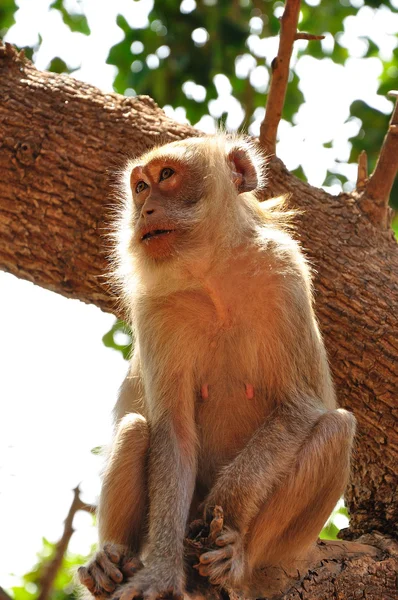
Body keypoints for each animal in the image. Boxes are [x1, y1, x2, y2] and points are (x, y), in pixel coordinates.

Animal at [77, 134, 354, 600]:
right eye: (140, 187)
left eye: (166, 175)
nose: (144, 210)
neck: (212, 277)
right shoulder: (154, 307)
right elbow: (173, 433)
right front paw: (162, 572)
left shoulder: (283, 271)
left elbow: (298, 405)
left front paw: (222, 507)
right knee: (136, 428)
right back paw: (113, 562)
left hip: (287, 548)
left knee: (336, 427)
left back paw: (238, 557)